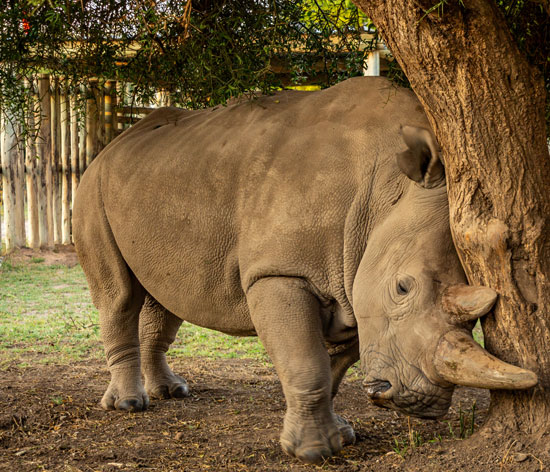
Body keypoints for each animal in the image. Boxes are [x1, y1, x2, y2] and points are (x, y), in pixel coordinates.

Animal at [73, 75, 540, 462]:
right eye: (402, 288)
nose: (415, 402)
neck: (387, 189)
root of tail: (113, 143)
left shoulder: (353, 282)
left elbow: (331, 367)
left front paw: (341, 437)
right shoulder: (280, 272)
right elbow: (306, 361)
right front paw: (313, 453)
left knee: (165, 297)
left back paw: (171, 392)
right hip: (92, 184)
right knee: (119, 296)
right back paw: (128, 406)